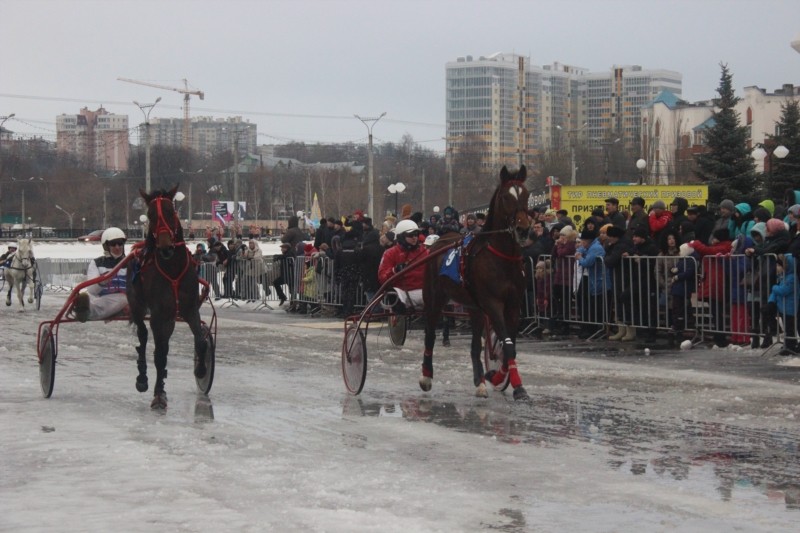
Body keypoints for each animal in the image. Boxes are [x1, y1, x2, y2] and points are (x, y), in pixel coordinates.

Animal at [126, 185, 208, 410]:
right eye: (151, 215)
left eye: (171, 211)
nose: (165, 247)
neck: (172, 269)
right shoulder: (158, 314)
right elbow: (159, 354)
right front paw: (158, 394)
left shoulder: (189, 309)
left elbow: (200, 340)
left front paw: (201, 370)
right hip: (137, 305)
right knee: (144, 336)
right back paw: (143, 379)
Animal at [418, 166, 532, 400]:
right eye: (506, 196)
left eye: (525, 194)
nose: (523, 230)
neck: (502, 258)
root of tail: (439, 240)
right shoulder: (493, 303)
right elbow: (507, 345)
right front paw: (516, 386)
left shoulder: (513, 304)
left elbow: (510, 345)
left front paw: (496, 377)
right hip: (434, 298)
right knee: (430, 334)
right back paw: (426, 376)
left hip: (473, 307)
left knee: (474, 346)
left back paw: (479, 381)